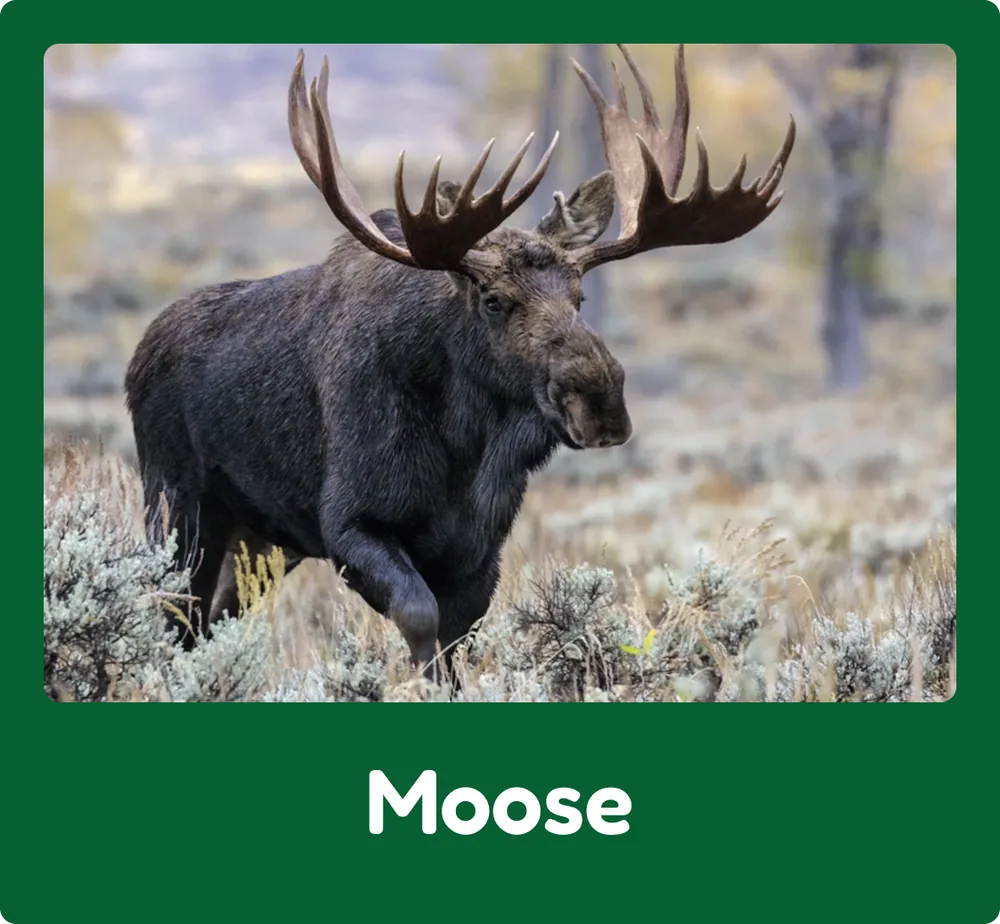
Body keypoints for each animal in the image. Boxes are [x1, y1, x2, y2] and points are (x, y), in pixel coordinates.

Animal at [125, 43, 795, 679]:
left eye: (579, 297)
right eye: (493, 300)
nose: (601, 400)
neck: (464, 450)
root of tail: (138, 356)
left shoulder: (480, 550)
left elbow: (458, 641)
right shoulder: (350, 522)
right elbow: (420, 621)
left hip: (262, 542)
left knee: (209, 622)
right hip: (179, 509)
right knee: (174, 617)